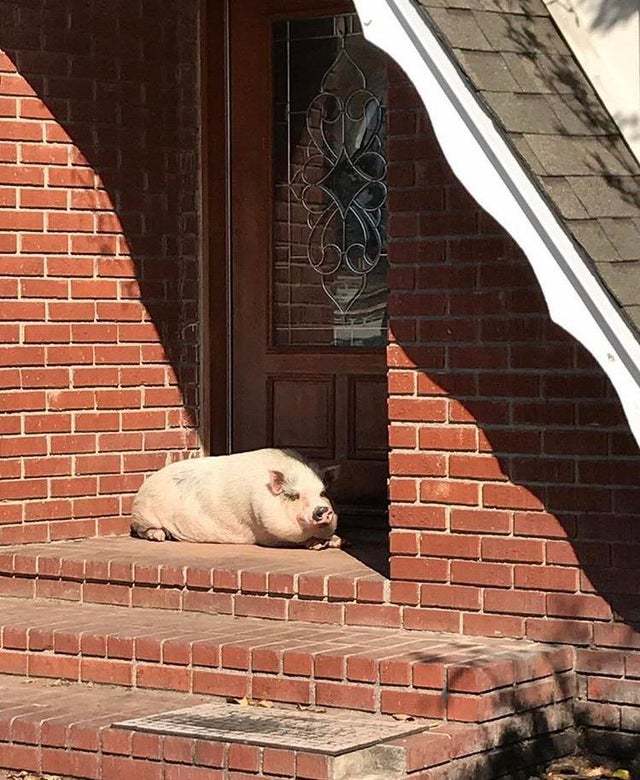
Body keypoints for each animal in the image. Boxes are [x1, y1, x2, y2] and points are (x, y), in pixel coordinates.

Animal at [127, 448, 342, 552]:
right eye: (293, 495)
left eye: (323, 492)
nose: (322, 510)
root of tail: (144, 486)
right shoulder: (265, 531)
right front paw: (317, 545)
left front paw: (338, 541)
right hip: (144, 515)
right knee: (143, 530)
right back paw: (160, 536)